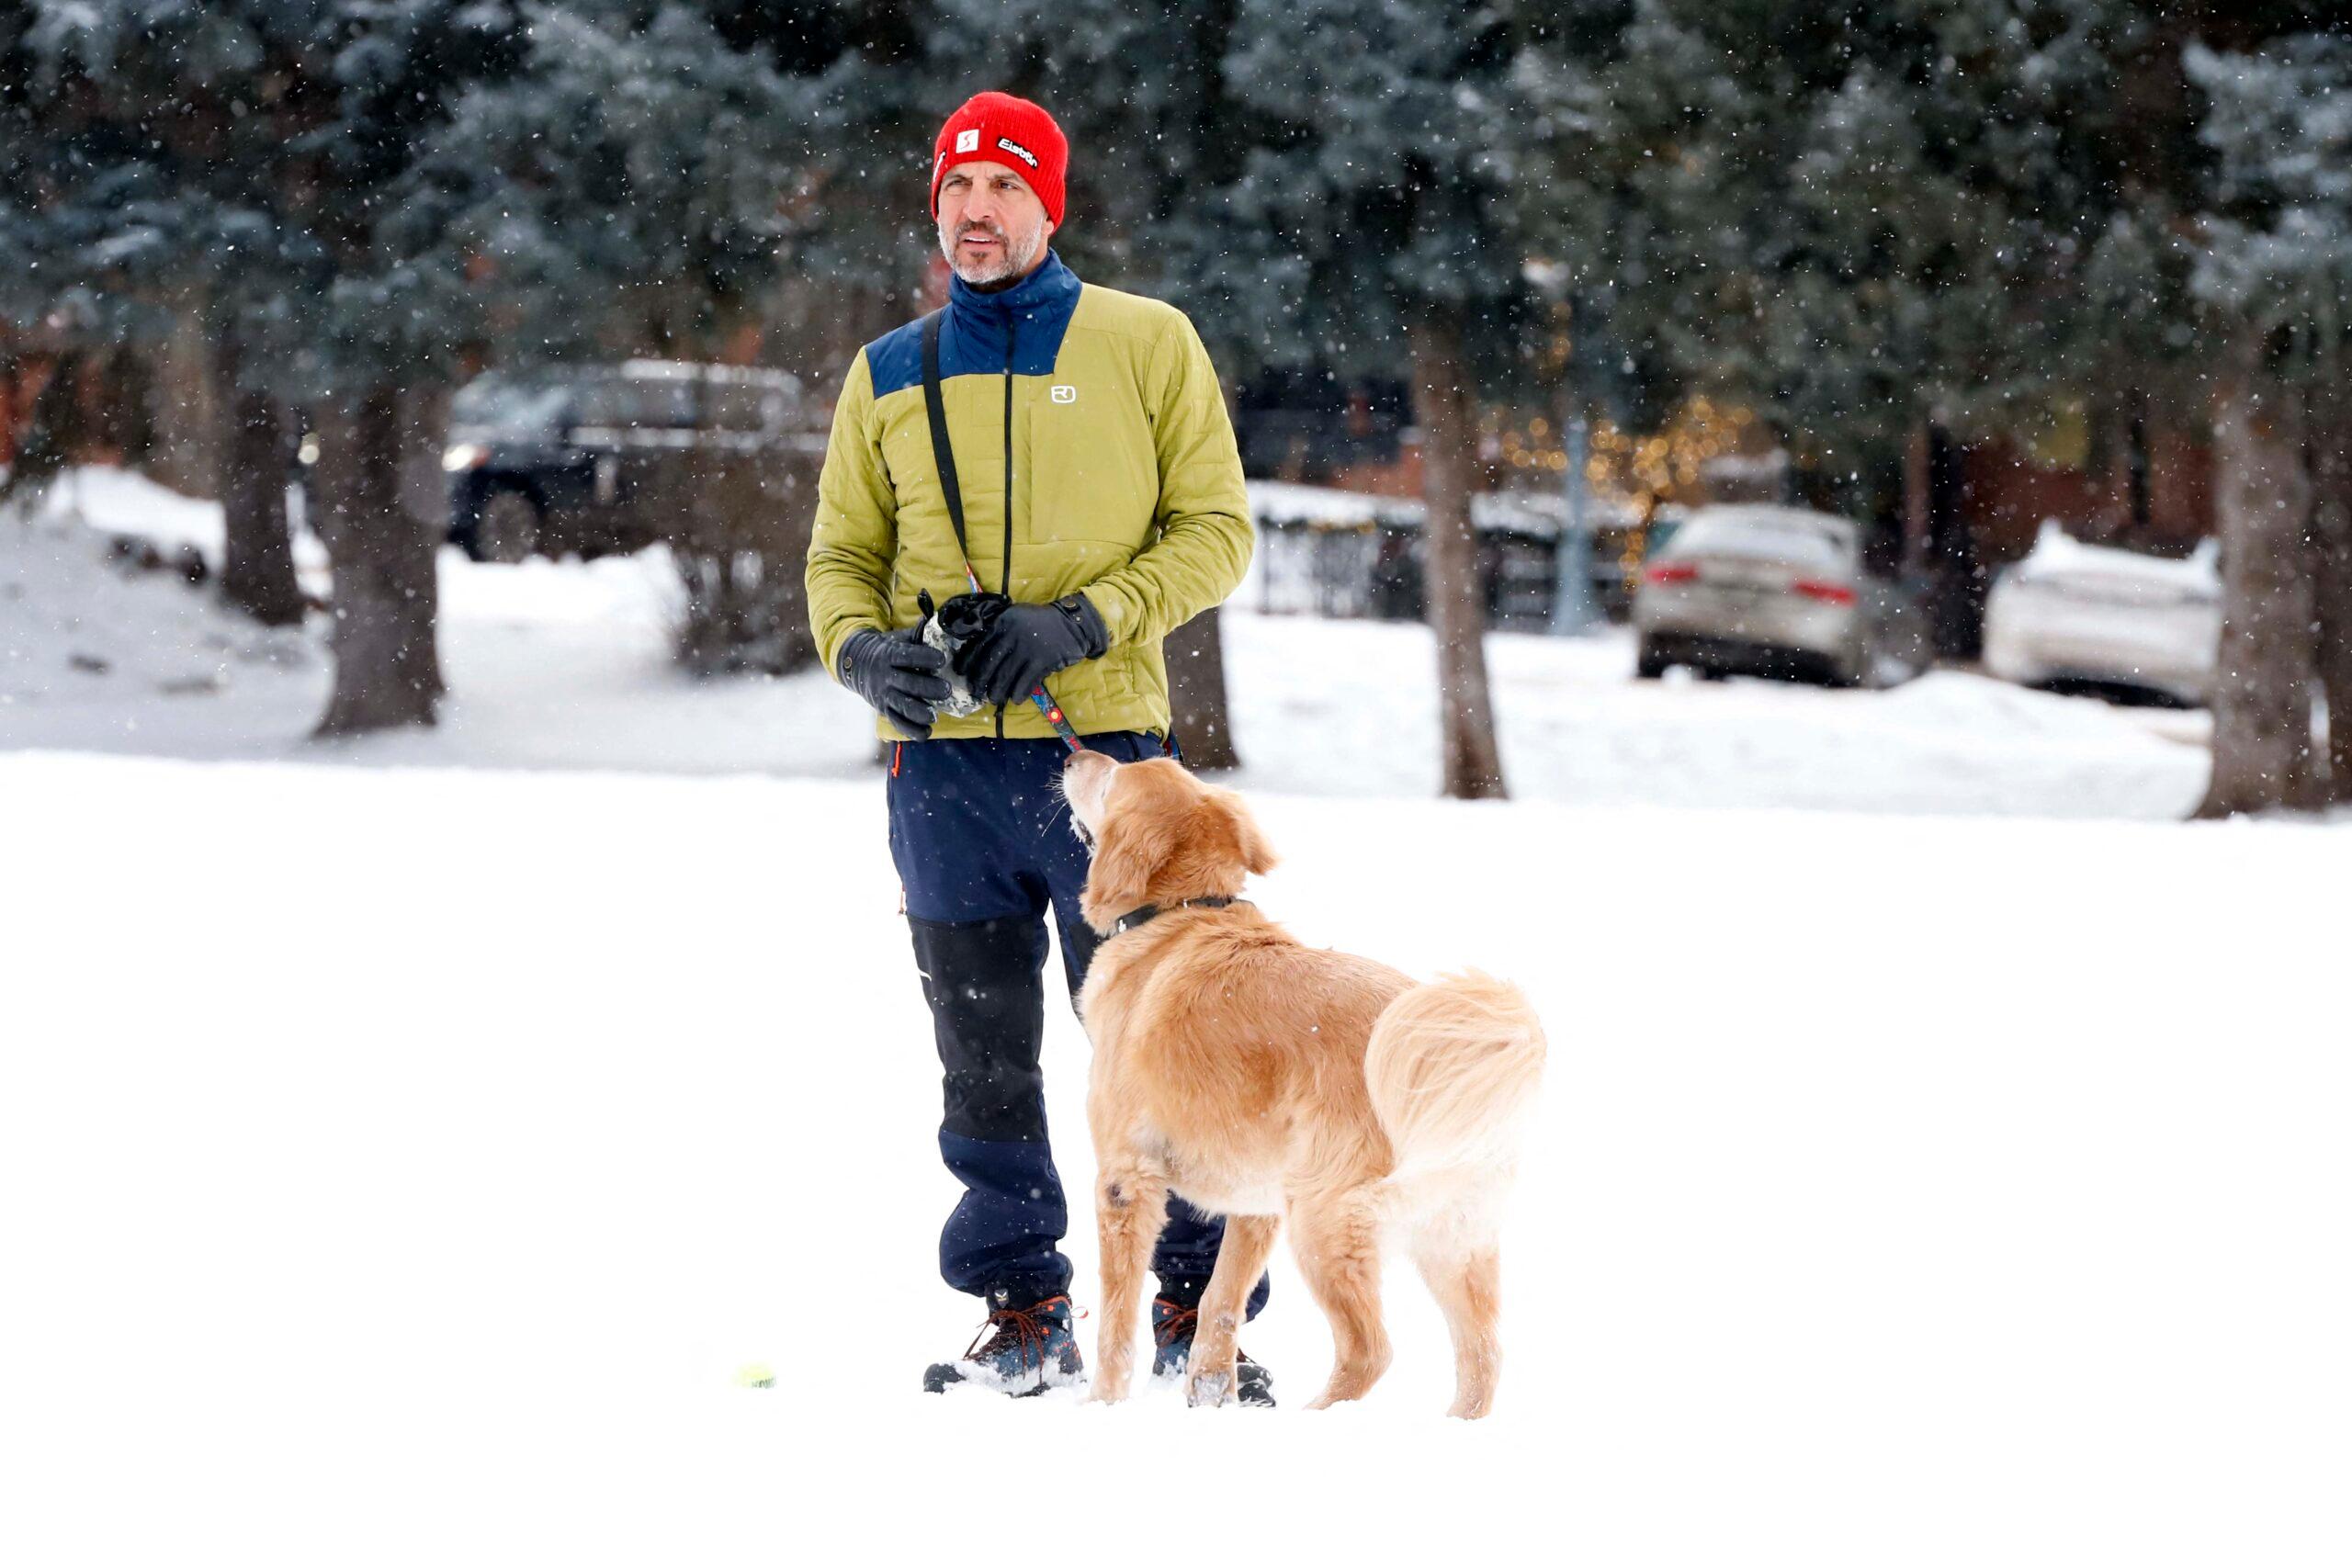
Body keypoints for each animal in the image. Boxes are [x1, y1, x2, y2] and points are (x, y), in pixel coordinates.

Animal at [1063, 751, 1543, 1419]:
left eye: (1112, 778)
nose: (1073, 753)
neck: (1185, 911)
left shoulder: (1124, 1181)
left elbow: (1116, 1321)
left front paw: (1103, 1404)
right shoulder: (1256, 1205)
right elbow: (1219, 1305)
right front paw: (1209, 1395)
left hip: (1323, 1221)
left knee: (1370, 1350)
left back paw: (1315, 1416)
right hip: (1449, 1235)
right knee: (1482, 1356)